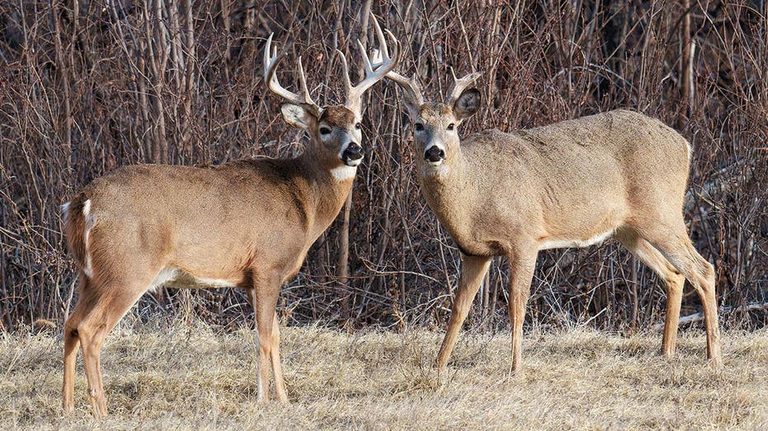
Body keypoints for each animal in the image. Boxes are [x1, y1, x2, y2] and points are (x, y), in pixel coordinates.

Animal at [60, 14, 399, 417]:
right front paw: (266, 399)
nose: (354, 151)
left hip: (89, 273)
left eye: (358, 123)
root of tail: (83, 201)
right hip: (126, 268)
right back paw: (101, 409)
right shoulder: (267, 265)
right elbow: (265, 336)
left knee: (70, 324)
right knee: (90, 330)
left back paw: (66, 407)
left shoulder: (252, 277)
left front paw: (282, 398)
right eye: (324, 128)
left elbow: (276, 335)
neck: (304, 201)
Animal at [384, 68, 722, 374]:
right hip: (628, 230)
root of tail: (685, 145)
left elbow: (517, 304)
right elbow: (459, 307)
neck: (476, 193)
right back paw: (666, 352)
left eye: (451, 125)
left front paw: (516, 368)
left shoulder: (525, 237)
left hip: (662, 212)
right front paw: (438, 365)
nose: (435, 152)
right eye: (418, 125)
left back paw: (713, 356)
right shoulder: (474, 251)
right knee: (674, 274)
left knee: (704, 269)